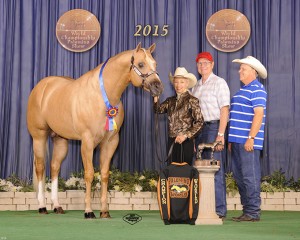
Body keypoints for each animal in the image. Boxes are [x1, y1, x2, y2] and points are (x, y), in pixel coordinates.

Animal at [27, 42, 164, 218]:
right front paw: (88, 211)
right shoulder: (87, 142)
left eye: (155, 64)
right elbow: (90, 173)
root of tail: (41, 87)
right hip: (39, 137)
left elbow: (104, 174)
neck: (102, 95)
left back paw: (57, 206)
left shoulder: (110, 142)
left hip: (60, 140)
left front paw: (104, 211)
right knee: (40, 167)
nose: (158, 87)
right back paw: (42, 206)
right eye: (141, 64)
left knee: (54, 167)